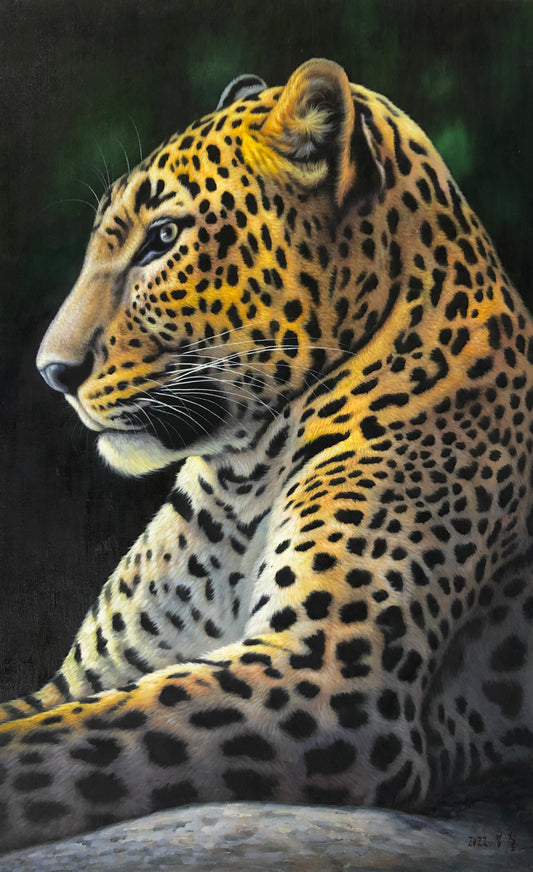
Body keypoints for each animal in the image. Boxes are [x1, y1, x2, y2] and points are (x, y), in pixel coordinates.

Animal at [0, 57, 532, 852]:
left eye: (163, 238)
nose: (52, 373)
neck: (242, 476)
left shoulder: (321, 676)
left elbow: (75, 737)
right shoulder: (87, 676)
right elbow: (53, 714)